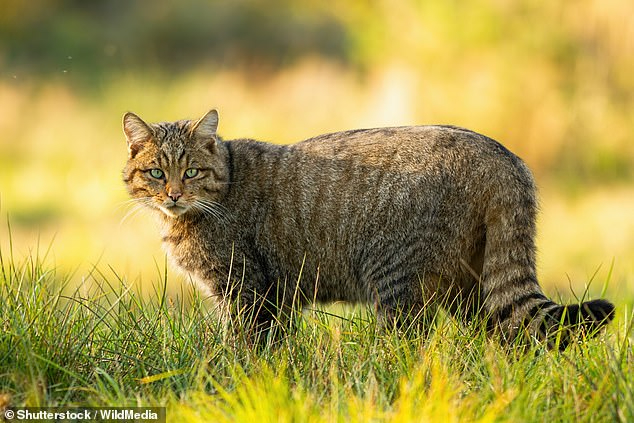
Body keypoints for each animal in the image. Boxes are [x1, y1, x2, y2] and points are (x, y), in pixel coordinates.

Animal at [119, 110, 612, 352]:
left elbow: (244, 347)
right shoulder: (274, 297)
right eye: (157, 173)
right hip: (469, 288)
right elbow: (274, 349)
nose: (174, 194)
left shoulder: (246, 290)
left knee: (408, 351)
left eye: (192, 171)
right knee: (509, 338)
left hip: (397, 283)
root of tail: (503, 155)